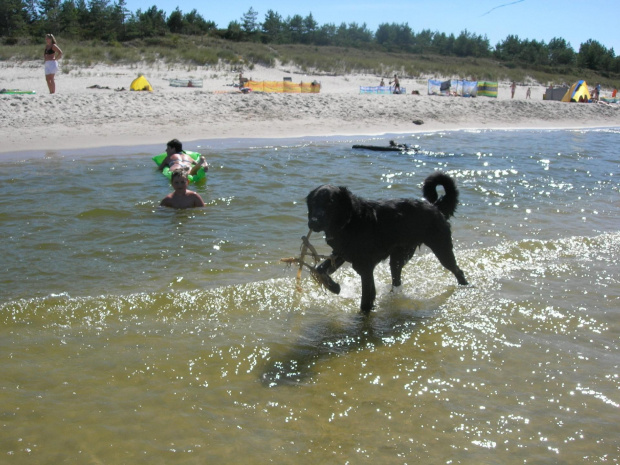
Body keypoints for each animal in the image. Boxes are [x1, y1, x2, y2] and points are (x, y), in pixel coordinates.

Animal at [306, 170, 470, 312]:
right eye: (313, 202)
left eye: (330, 203)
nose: (313, 222)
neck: (350, 220)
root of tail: (435, 207)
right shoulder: (341, 254)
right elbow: (320, 269)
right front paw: (333, 287)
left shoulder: (365, 268)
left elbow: (366, 301)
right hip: (398, 258)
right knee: (396, 281)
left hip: (442, 249)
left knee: (458, 271)